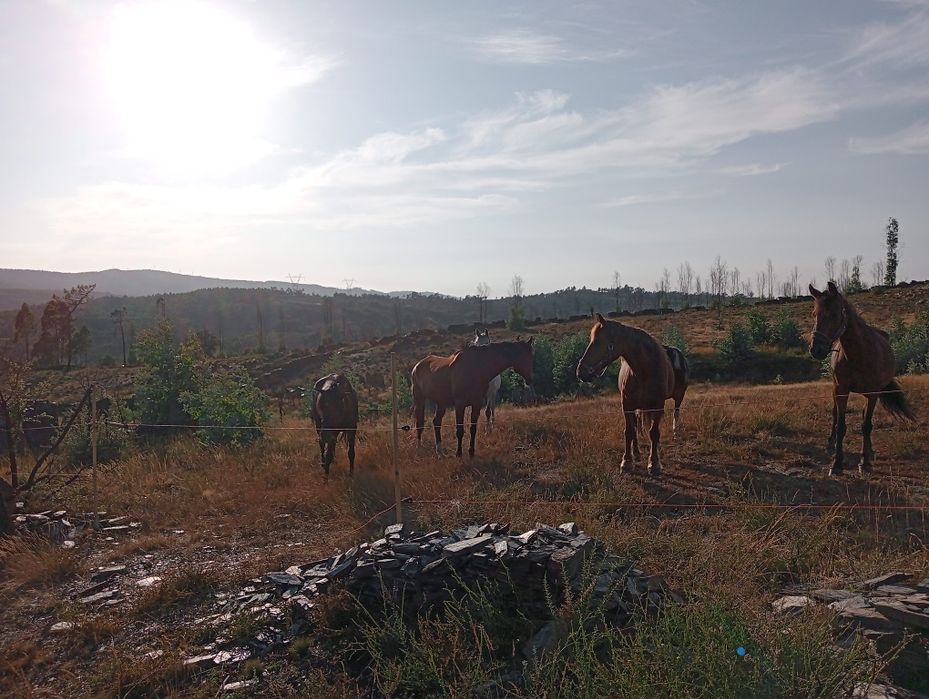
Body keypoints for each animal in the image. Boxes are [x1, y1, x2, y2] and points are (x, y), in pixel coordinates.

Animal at [576, 313, 689, 477]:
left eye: (598, 341)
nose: (580, 372)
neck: (644, 370)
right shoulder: (627, 404)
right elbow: (629, 431)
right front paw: (627, 462)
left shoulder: (658, 405)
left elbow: (654, 432)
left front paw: (654, 463)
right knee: (635, 425)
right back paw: (636, 452)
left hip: (678, 397)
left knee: (676, 413)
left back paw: (674, 433)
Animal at [808, 281, 916, 476]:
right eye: (814, 314)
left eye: (833, 314)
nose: (816, 349)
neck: (859, 353)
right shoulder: (841, 391)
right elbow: (841, 425)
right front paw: (837, 463)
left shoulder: (872, 394)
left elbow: (866, 425)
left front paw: (864, 462)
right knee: (835, 415)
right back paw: (831, 444)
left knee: (866, 419)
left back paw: (870, 452)